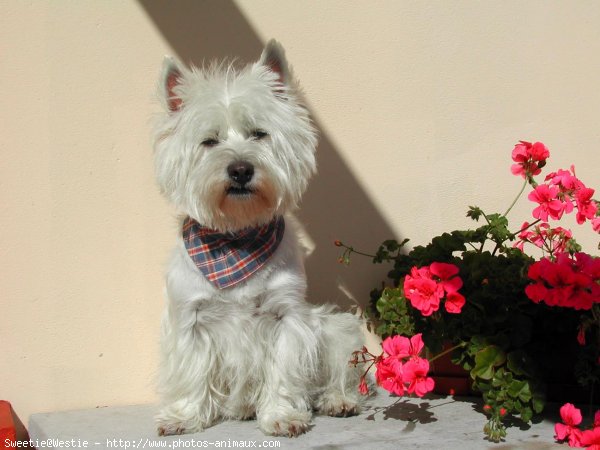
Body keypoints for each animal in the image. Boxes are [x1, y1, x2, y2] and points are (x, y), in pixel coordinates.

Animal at [152, 41, 364, 436]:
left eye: (259, 134)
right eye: (209, 141)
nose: (240, 169)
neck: (236, 239)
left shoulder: (286, 316)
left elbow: (283, 369)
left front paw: (282, 416)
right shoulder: (189, 319)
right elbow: (191, 371)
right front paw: (183, 416)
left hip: (334, 328)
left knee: (342, 371)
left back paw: (337, 400)